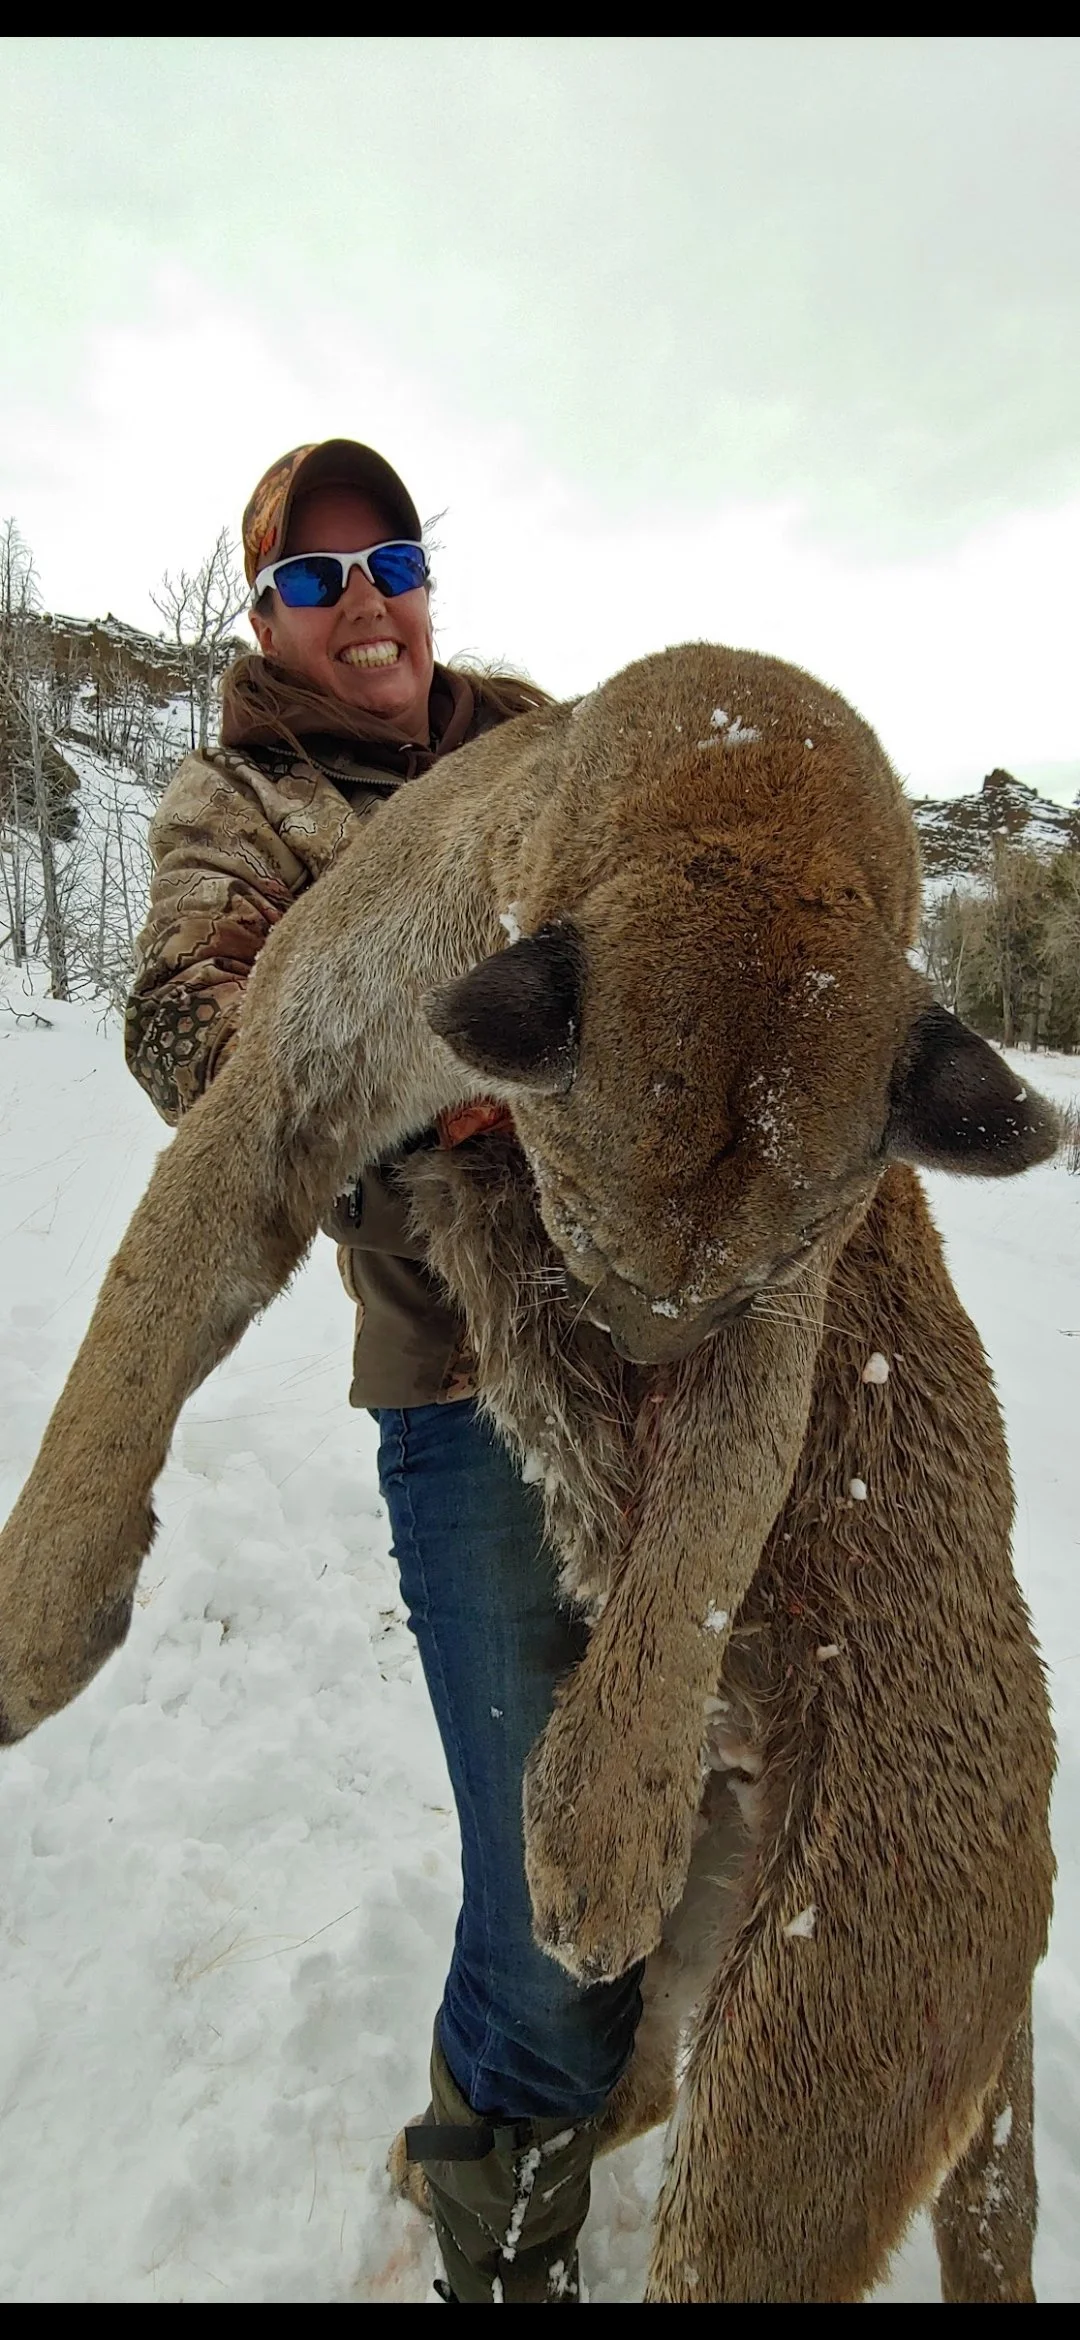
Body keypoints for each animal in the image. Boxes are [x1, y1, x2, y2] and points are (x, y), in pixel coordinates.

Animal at [0, 642, 1058, 2301]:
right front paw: (35, 1627)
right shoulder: (277, 1087)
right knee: (631, 2073)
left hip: (810, 2055)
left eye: (712, 1308)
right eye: (586, 1241)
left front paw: (601, 1824)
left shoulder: (781, 1309)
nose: (637, 1364)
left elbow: (709, 1531)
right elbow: (129, 1336)